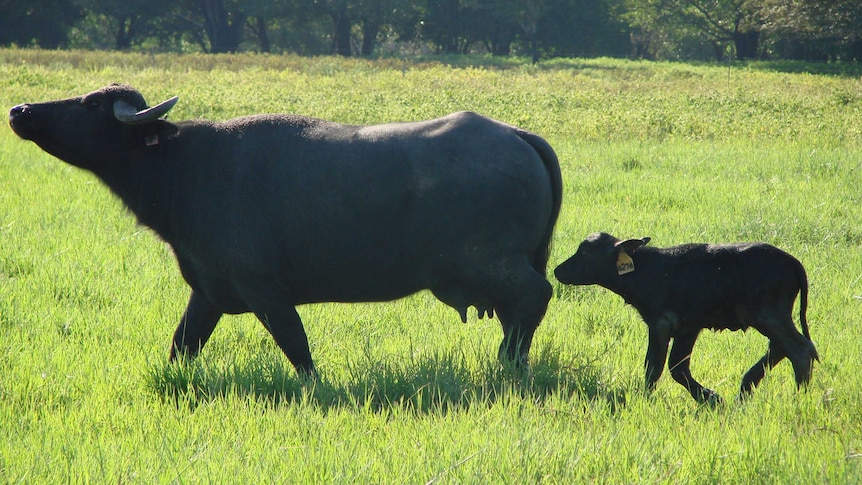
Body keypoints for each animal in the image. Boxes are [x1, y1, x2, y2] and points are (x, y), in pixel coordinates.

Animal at [8, 85, 568, 376]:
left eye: (90, 104)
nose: (19, 110)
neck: (188, 169)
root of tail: (516, 135)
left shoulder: (264, 289)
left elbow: (296, 346)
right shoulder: (208, 290)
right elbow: (182, 344)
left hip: (492, 262)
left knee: (534, 297)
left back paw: (507, 365)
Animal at [556, 233, 820, 402]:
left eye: (585, 252)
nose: (558, 271)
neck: (645, 271)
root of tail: (793, 263)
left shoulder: (661, 322)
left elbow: (654, 366)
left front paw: (644, 400)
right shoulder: (688, 326)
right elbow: (678, 367)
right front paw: (711, 399)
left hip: (769, 314)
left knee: (799, 349)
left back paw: (799, 399)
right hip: (773, 315)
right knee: (782, 347)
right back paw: (745, 389)